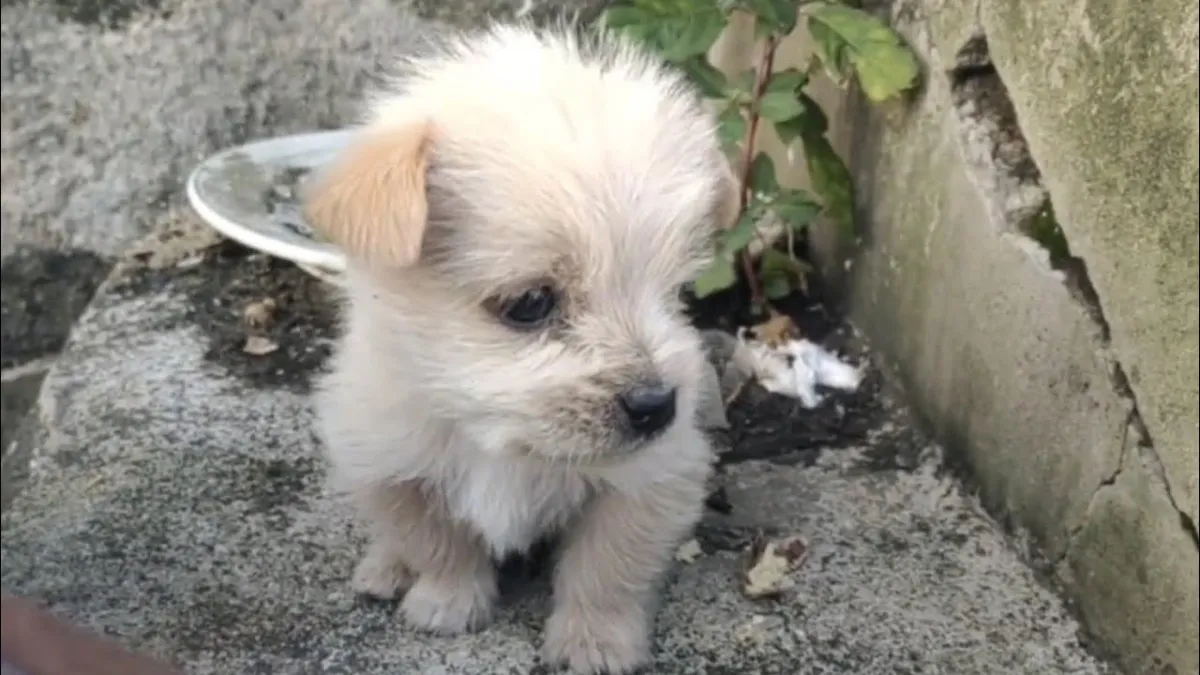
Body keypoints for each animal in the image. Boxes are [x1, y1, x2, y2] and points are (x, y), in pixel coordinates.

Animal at [302, 22, 739, 672]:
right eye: (531, 302)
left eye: (675, 291)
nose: (659, 407)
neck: (498, 442)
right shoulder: (390, 467)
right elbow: (436, 540)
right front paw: (448, 601)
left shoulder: (647, 479)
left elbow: (606, 569)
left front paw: (593, 641)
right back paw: (385, 569)